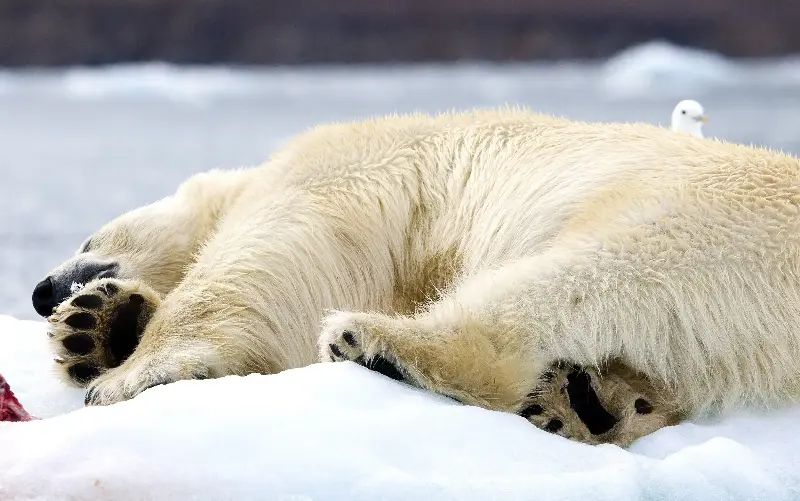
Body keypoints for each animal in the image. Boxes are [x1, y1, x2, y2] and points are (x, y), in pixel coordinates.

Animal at [32, 107, 800, 447]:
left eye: (87, 235)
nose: (42, 291)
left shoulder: (340, 169)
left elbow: (273, 253)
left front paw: (130, 373)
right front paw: (96, 327)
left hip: (699, 214)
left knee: (584, 271)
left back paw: (383, 344)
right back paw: (585, 399)